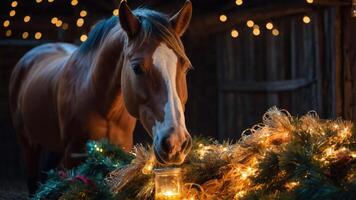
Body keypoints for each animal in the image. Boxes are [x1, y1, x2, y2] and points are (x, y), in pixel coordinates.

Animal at [9, 0, 192, 194]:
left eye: (186, 67)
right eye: (136, 68)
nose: (176, 142)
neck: (104, 108)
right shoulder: (74, 156)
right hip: (28, 144)